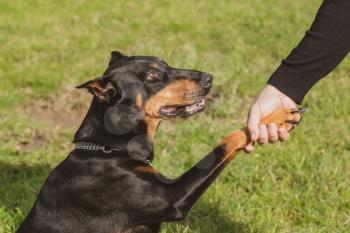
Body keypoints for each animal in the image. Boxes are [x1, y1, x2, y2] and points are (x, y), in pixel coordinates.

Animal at [16, 51, 302, 233]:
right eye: (152, 77)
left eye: (167, 64)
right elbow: (225, 142)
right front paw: (276, 116)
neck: (107, 149)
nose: (209, 78)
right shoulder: (172, 199)